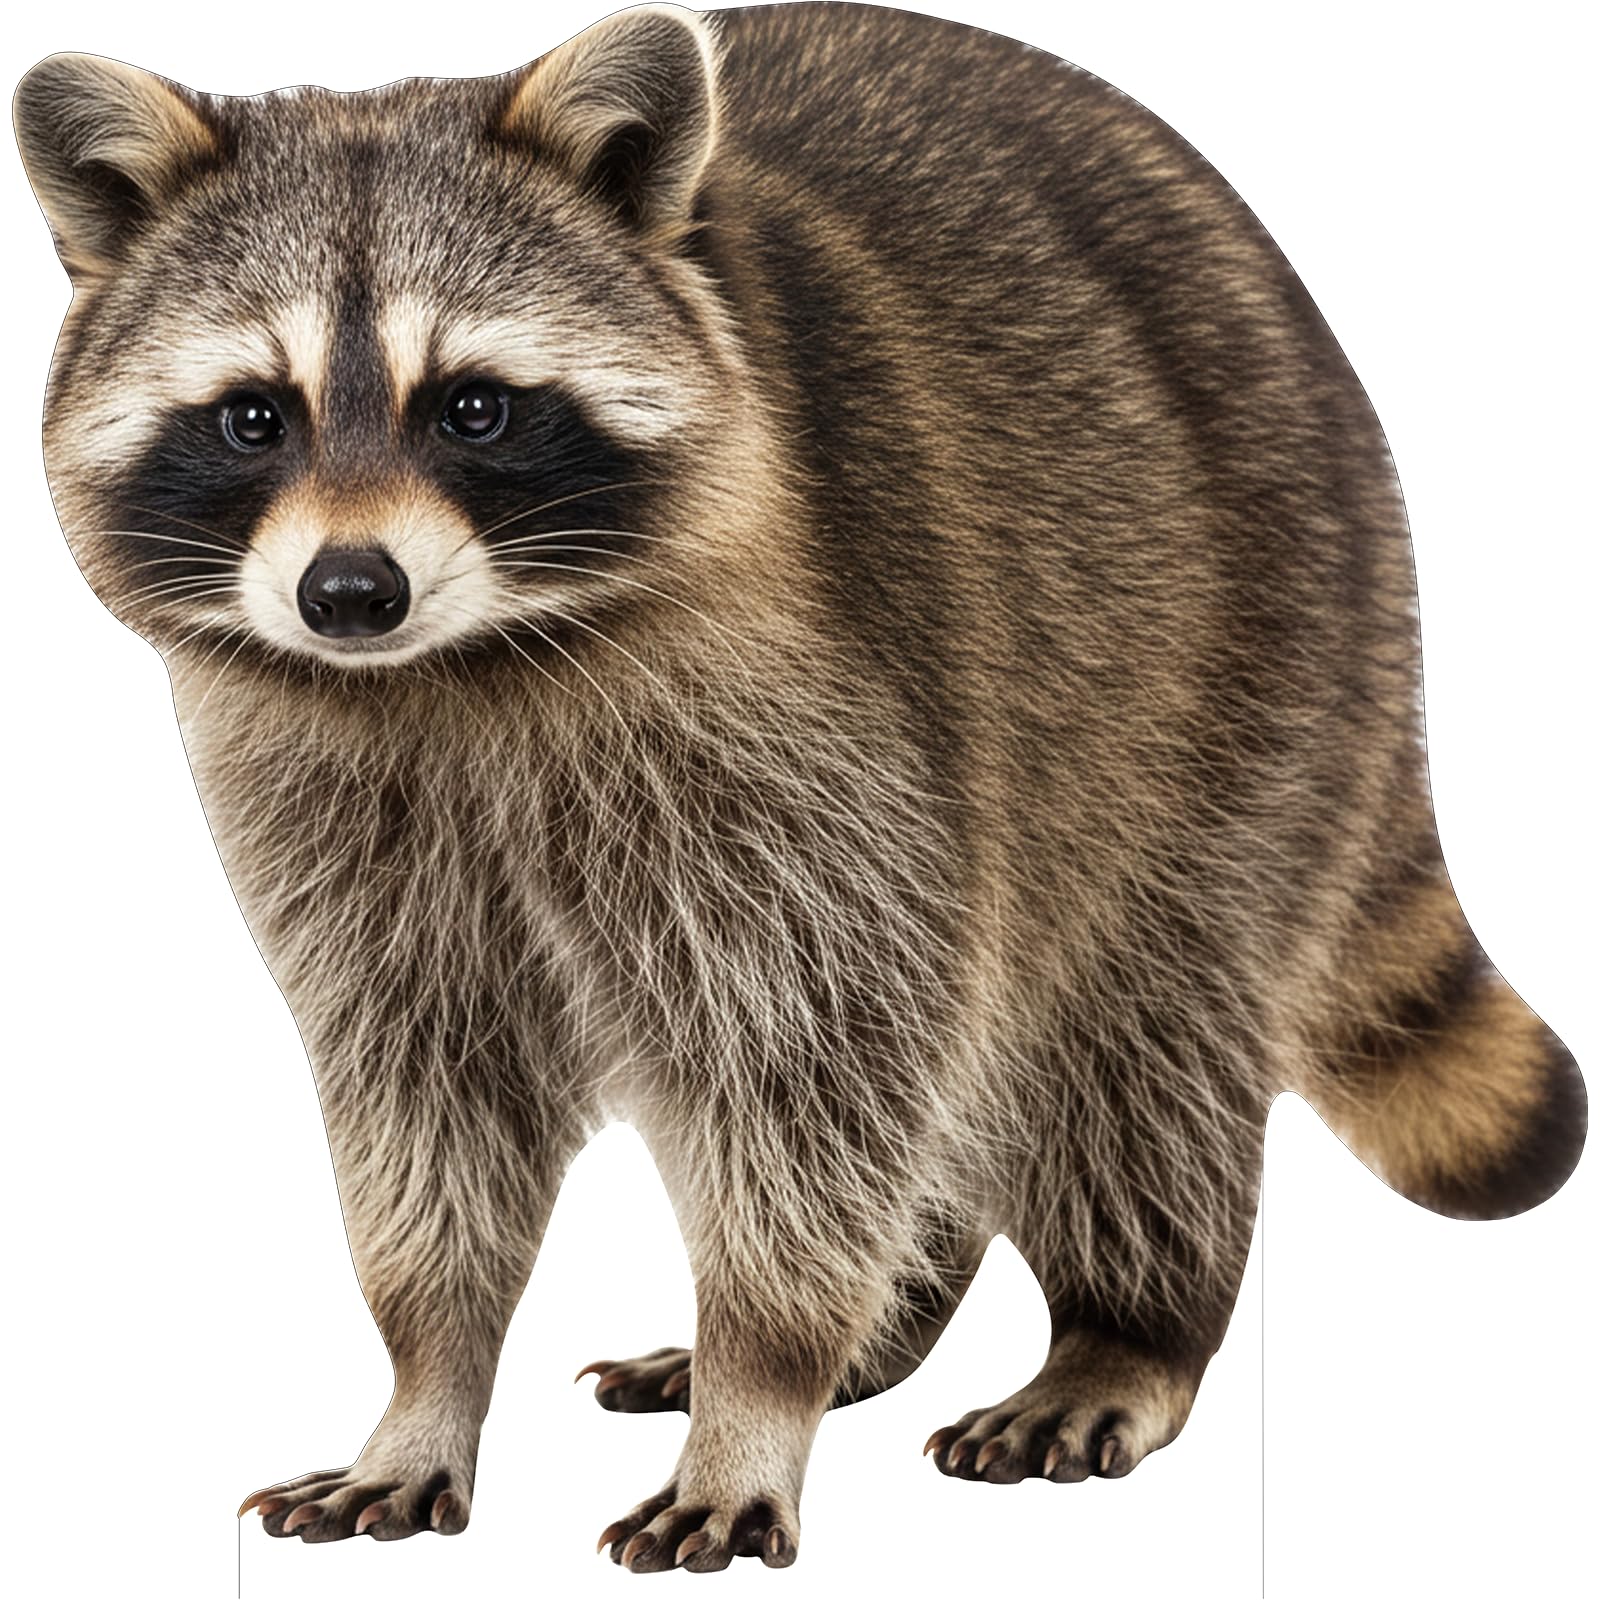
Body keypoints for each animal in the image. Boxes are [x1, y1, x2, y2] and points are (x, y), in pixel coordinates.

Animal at [14, 0, 1586, 1573]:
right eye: (252, 420)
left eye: (472, 409)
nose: (350, 593)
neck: (461, 665)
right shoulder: (330, 804)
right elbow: (424, 1085)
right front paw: (426, 1377)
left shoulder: (833, 710)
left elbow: (819, 1052)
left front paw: (761, 1384)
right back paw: (897, 1322)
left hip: (1243, 661)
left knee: (1134, 1029)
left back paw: (1122, 1328)